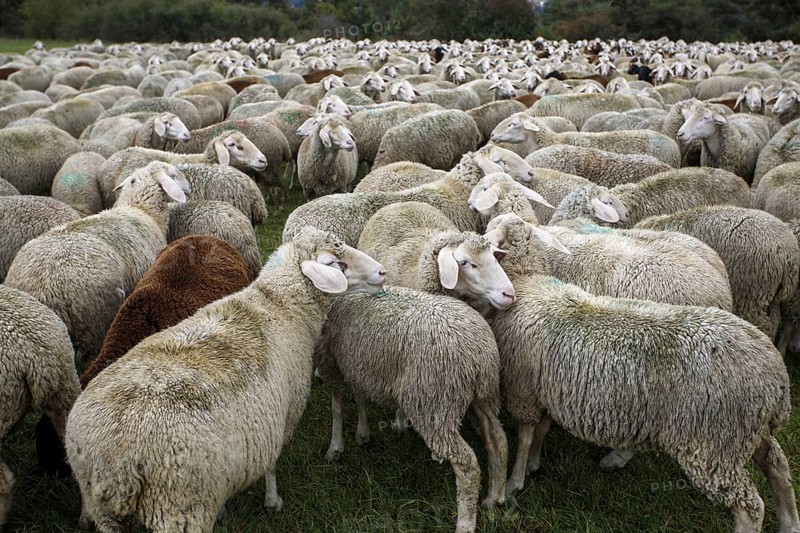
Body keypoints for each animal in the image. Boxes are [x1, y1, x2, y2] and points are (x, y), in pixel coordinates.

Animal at [65, 227, 386, 532]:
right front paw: (273, 501)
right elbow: (271, 465)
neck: (278, 306)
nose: (382, 272)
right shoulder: (280, 416)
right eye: (337, 264)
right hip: (179, 505)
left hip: (104, 509)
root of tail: (117, 457)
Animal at [315, 286, 507, 533]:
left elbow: (337, 407)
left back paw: (465, 523)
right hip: (484, 395)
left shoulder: (331, 361)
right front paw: (362, 433)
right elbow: (359, 397)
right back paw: (494, 496)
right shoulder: (359, 364)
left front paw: (335, 448)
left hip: (434, 404)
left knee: (468, 466)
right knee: (498, 439)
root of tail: (478, 355)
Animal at [490, 235, 798, 532]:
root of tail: (776, 377)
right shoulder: (544, 389)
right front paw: (533, 463)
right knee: (777, 464)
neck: (528, 282)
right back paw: (789, 522)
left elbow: (526, 435)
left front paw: (514, 480)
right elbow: (541, 429)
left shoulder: (523, 389)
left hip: (713, 442)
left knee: (750, 506)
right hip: (742, 431)